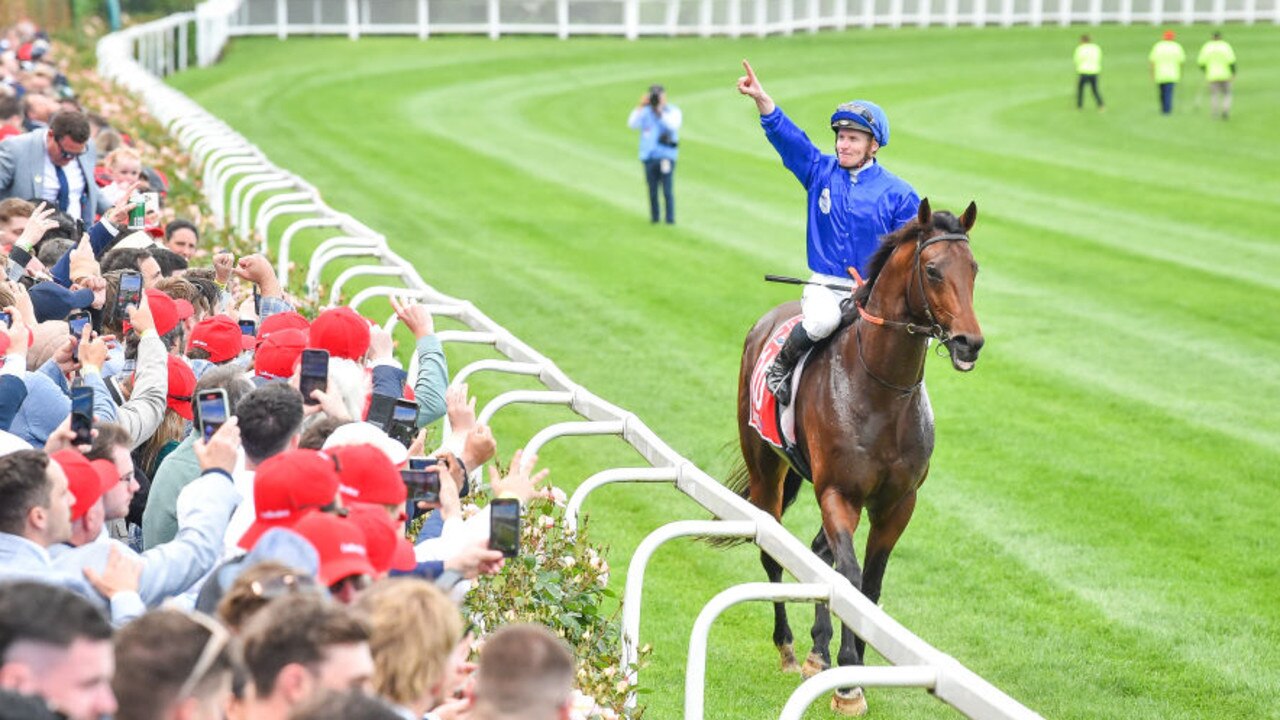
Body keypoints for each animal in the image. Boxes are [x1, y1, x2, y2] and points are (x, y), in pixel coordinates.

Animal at [732, 196, 977, 712]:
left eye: (974, 268)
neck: (880, 392)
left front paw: (853, 662)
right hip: (765, 468)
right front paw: (847, 679)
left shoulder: (897, 503)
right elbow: (848, 574)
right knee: (773, 550)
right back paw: (788, 646)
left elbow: (869, 583)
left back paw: (816, 649)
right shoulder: (838, 493)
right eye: (932, 270)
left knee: (815, 552)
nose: (970, 342)